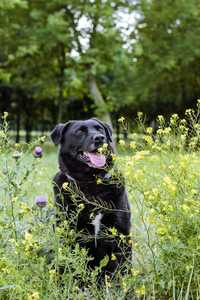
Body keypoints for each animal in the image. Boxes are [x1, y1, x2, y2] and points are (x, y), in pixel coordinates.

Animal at [50, 117, 130, 278]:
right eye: (79, 131)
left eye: (99, 129)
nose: (100, 138)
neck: (91, 182)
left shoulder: (121, 233)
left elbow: (123, 271)